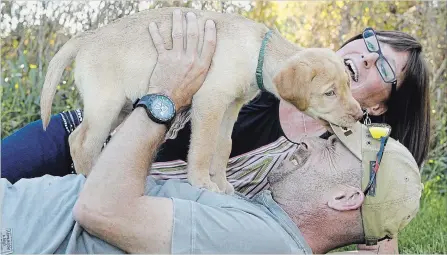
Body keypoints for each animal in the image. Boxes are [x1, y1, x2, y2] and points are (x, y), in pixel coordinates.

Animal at [40, 6, 364, 193]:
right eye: (329, 93)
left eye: (349, 85)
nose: (359, 115)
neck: (257, 54)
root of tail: (89, 37)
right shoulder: (209, 103)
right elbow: (203, 147)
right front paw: (202, 182)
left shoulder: (230, 108)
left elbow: (223, 147)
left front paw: (221, 183)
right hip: (106, 104)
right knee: (81, 142)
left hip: (120, 108)